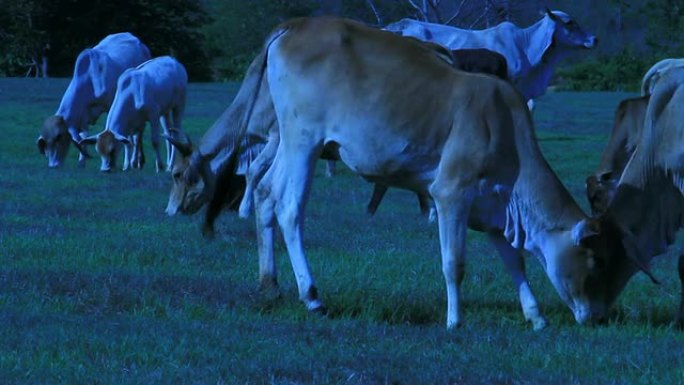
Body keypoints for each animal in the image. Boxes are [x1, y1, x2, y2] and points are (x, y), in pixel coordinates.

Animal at [36, 33, 151, 169]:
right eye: (46, 144)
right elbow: (83, 137)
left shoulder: (112, 106)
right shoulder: (84, 116)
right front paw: (81, 162)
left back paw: (137, 160)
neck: (88, 80)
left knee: (138, 134)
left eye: (59, 137)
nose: (53, 165)